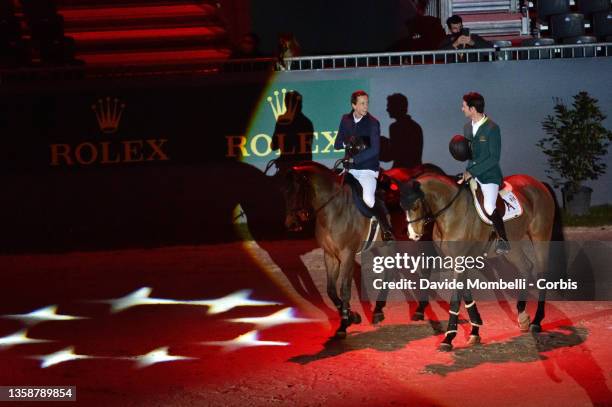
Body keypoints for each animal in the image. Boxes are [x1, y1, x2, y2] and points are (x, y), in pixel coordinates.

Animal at [282, 162, 444, 338]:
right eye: (284, 192)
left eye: (298, 190)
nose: (291, 224)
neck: (334, 209)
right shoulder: (330, 255)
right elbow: (331, 290)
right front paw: (352, 316)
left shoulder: (347, 254)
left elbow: (345, 289)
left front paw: (344, 324)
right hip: (387, 245)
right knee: (391, 271)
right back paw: (379, 311)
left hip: (420, 239)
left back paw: (419, 309)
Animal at [400, 174, 556, 352]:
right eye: (402, 207)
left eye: (416, 205)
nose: (413, 235)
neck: (452, 212)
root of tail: (538, 183)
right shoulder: (459, 262)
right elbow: (467, 296)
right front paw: (475, 331)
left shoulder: (460, 261)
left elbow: (456, 300)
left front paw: (448, 338)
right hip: (514, 245)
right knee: (526, 267)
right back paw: (523, 317)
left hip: (540, 236)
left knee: (542, 274)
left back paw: (536, 321)